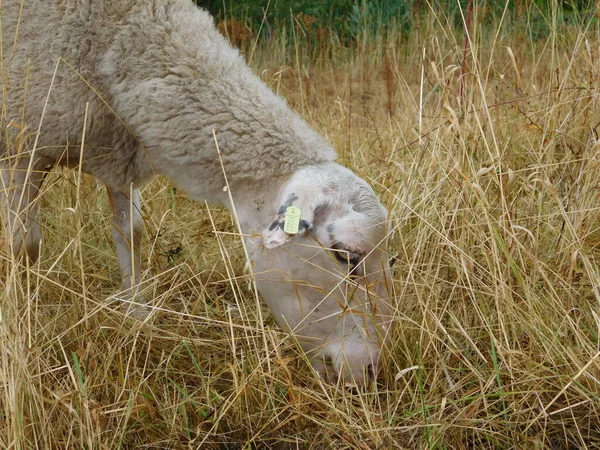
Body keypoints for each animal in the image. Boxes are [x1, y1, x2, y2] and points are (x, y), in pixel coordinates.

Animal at [0, 0, 392, 386]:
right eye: (346, 256)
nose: (371, 369)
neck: (121, 35)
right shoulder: (20, 149)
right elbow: (25, 248)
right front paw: (25, 334)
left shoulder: (117, 155)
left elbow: (131, 234)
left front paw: (137, 318)